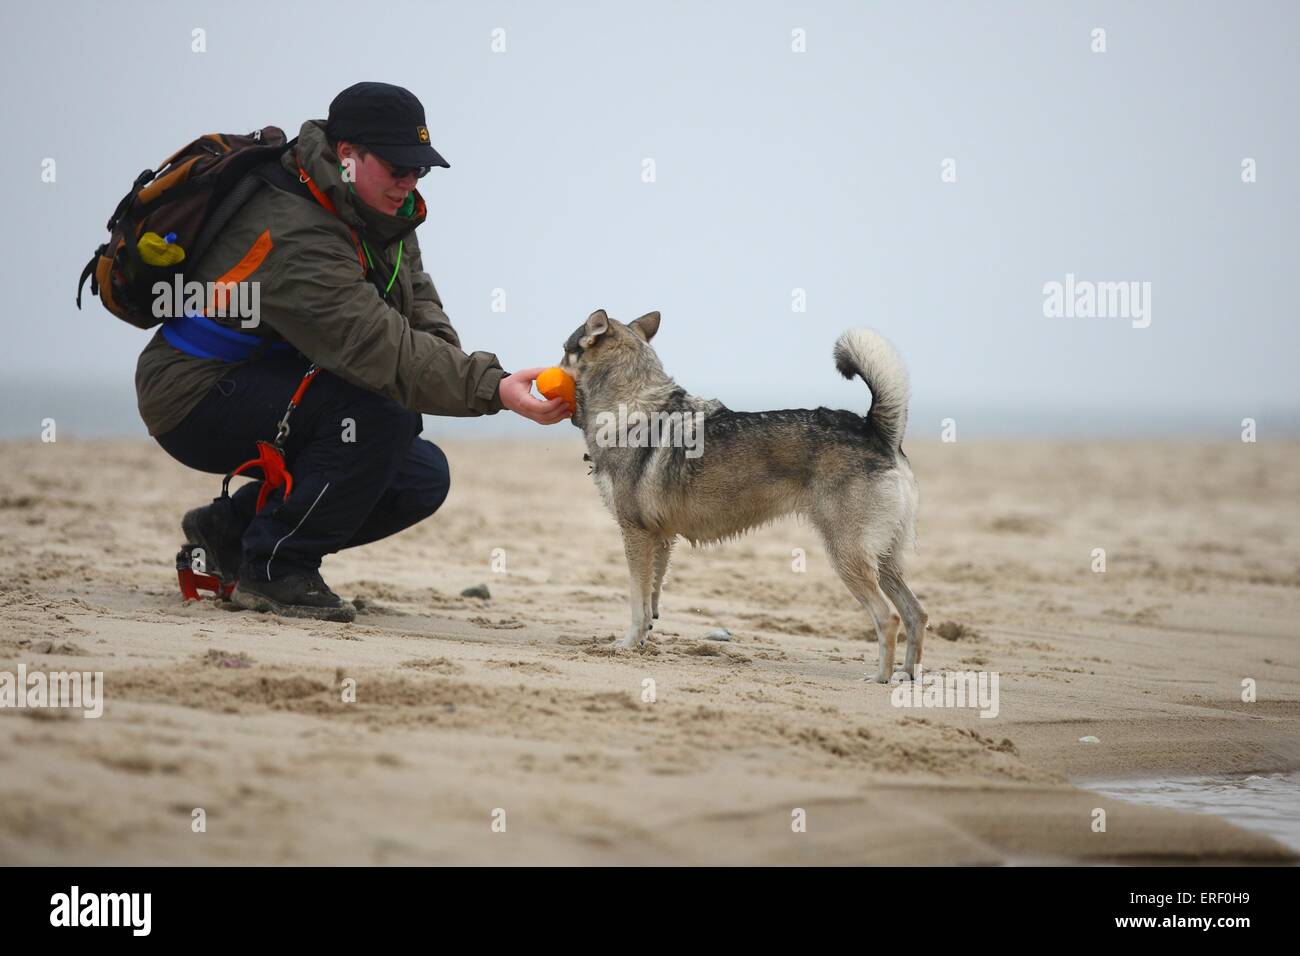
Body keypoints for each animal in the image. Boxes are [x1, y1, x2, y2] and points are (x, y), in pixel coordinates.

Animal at [556, 310, 925, 686]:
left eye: (563, 351)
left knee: (889, 618)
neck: (631, 407)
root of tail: (875, 430)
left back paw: (879, 678)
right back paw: (906, 675)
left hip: (848, 557)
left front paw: (627, 645)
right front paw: (643, 638)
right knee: (916, 615)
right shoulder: (661, 539)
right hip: (884, 562)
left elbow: (636, 601)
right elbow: (651, 600)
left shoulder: (635, 535)